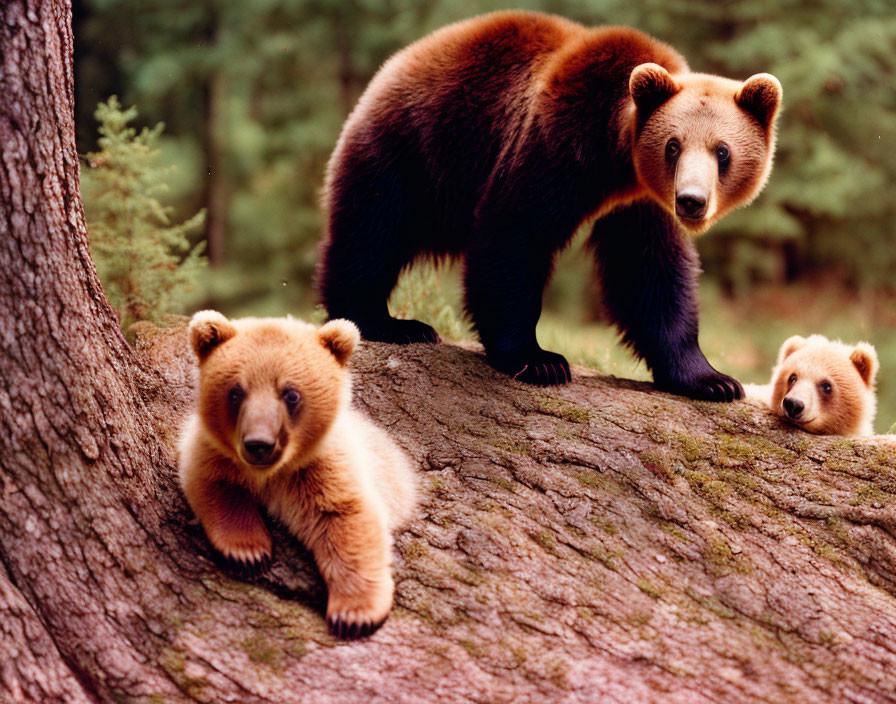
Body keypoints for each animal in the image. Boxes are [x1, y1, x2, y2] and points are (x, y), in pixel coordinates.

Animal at [318, 11, 780, 398]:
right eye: (673, 145)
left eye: (722, 151)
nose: (691, 201)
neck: (616, 163)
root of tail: (395, 63)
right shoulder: (555, 140)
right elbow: (516, 232)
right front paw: (539, 360)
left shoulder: (641, 203)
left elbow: (651, 271)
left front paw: (713, 380)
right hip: (412, 148)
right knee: (373, 229)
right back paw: (386, 322)